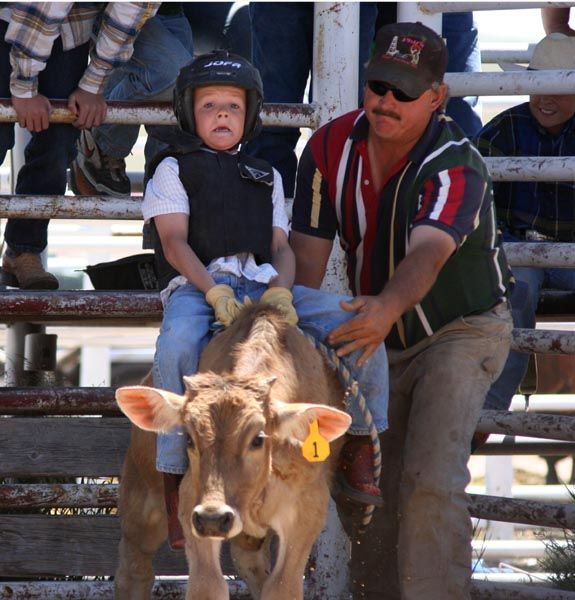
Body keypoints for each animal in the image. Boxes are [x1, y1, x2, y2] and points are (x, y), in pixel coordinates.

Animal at [114, 308, 348, 596]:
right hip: (142, 500)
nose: (213, 518)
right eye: (189, 438)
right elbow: (208, 586)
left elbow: (281, 586)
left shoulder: (305, 513)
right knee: (135, 567)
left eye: (258, 439)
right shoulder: (191, 506)